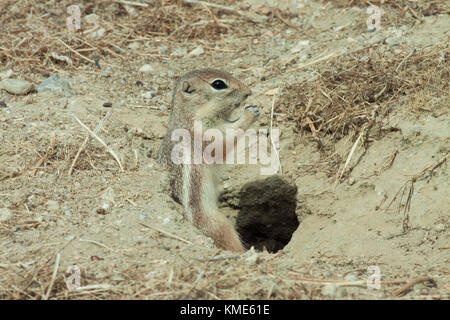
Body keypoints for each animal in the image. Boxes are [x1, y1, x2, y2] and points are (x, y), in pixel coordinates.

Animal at [157, 69, 260, 251]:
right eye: (218, 84)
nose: (248, 92)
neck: (189, 115)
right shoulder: (206, 137)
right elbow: (226, 141)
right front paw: (249, 113)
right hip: (218, 226)